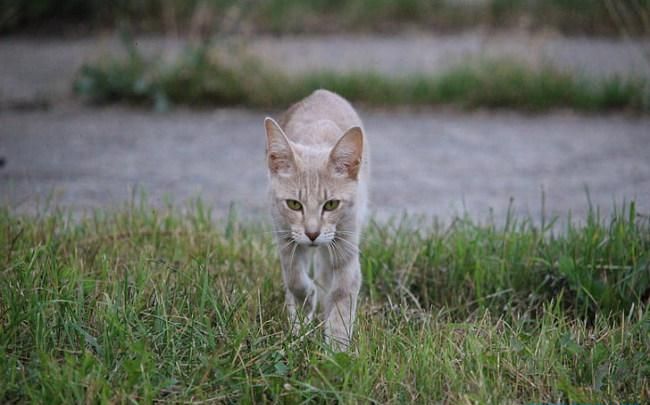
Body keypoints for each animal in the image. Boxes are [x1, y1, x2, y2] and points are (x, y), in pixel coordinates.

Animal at [260, 90, 368, 348]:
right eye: (293, 204)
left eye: (331, 205)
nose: (312, 234)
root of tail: (321, 92)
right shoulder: (285, 237)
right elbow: (295, 281)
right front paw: (305, 305)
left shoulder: (347, 244)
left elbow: (342, 294)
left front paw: (336, 348)